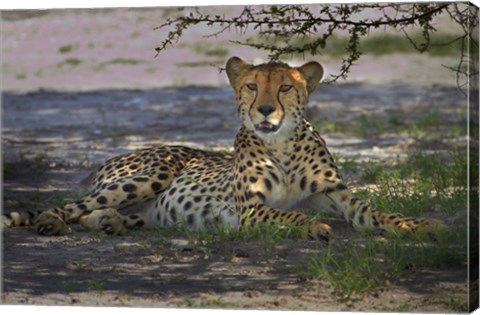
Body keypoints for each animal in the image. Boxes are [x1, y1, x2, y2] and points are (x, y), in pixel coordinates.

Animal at [1, 56, 446, 241]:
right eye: (251, 86)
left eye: (285, 87)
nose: (264, 109)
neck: (281, 144)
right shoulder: (251, 208)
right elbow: (288, 213)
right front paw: (312, 227)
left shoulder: (339, 196)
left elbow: (381, 213)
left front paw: (421, 225)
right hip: (153, 173)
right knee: (69, 207)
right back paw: (53, 222)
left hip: (149, 211)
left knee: (97, 215)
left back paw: (110, 224)